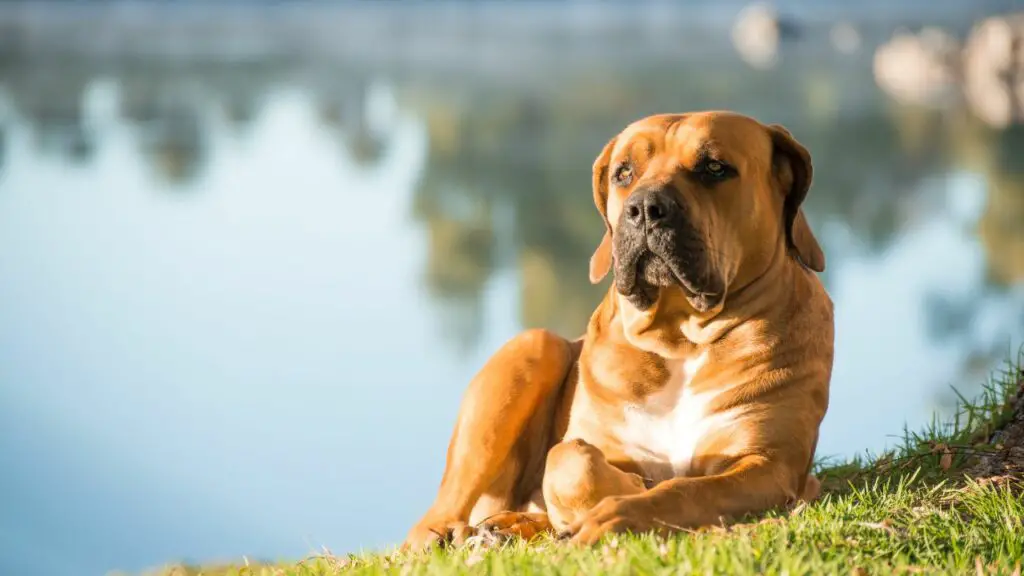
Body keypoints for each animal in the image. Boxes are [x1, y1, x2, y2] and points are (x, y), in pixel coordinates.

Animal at [399, 109, 831, 545]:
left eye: (714, 167)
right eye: (624, 173)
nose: (645, 207)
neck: (681, 338)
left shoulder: (769, 464)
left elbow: (686, 489)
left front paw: (621, 509)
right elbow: (569, 461)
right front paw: (623, 490)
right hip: (530, 349)